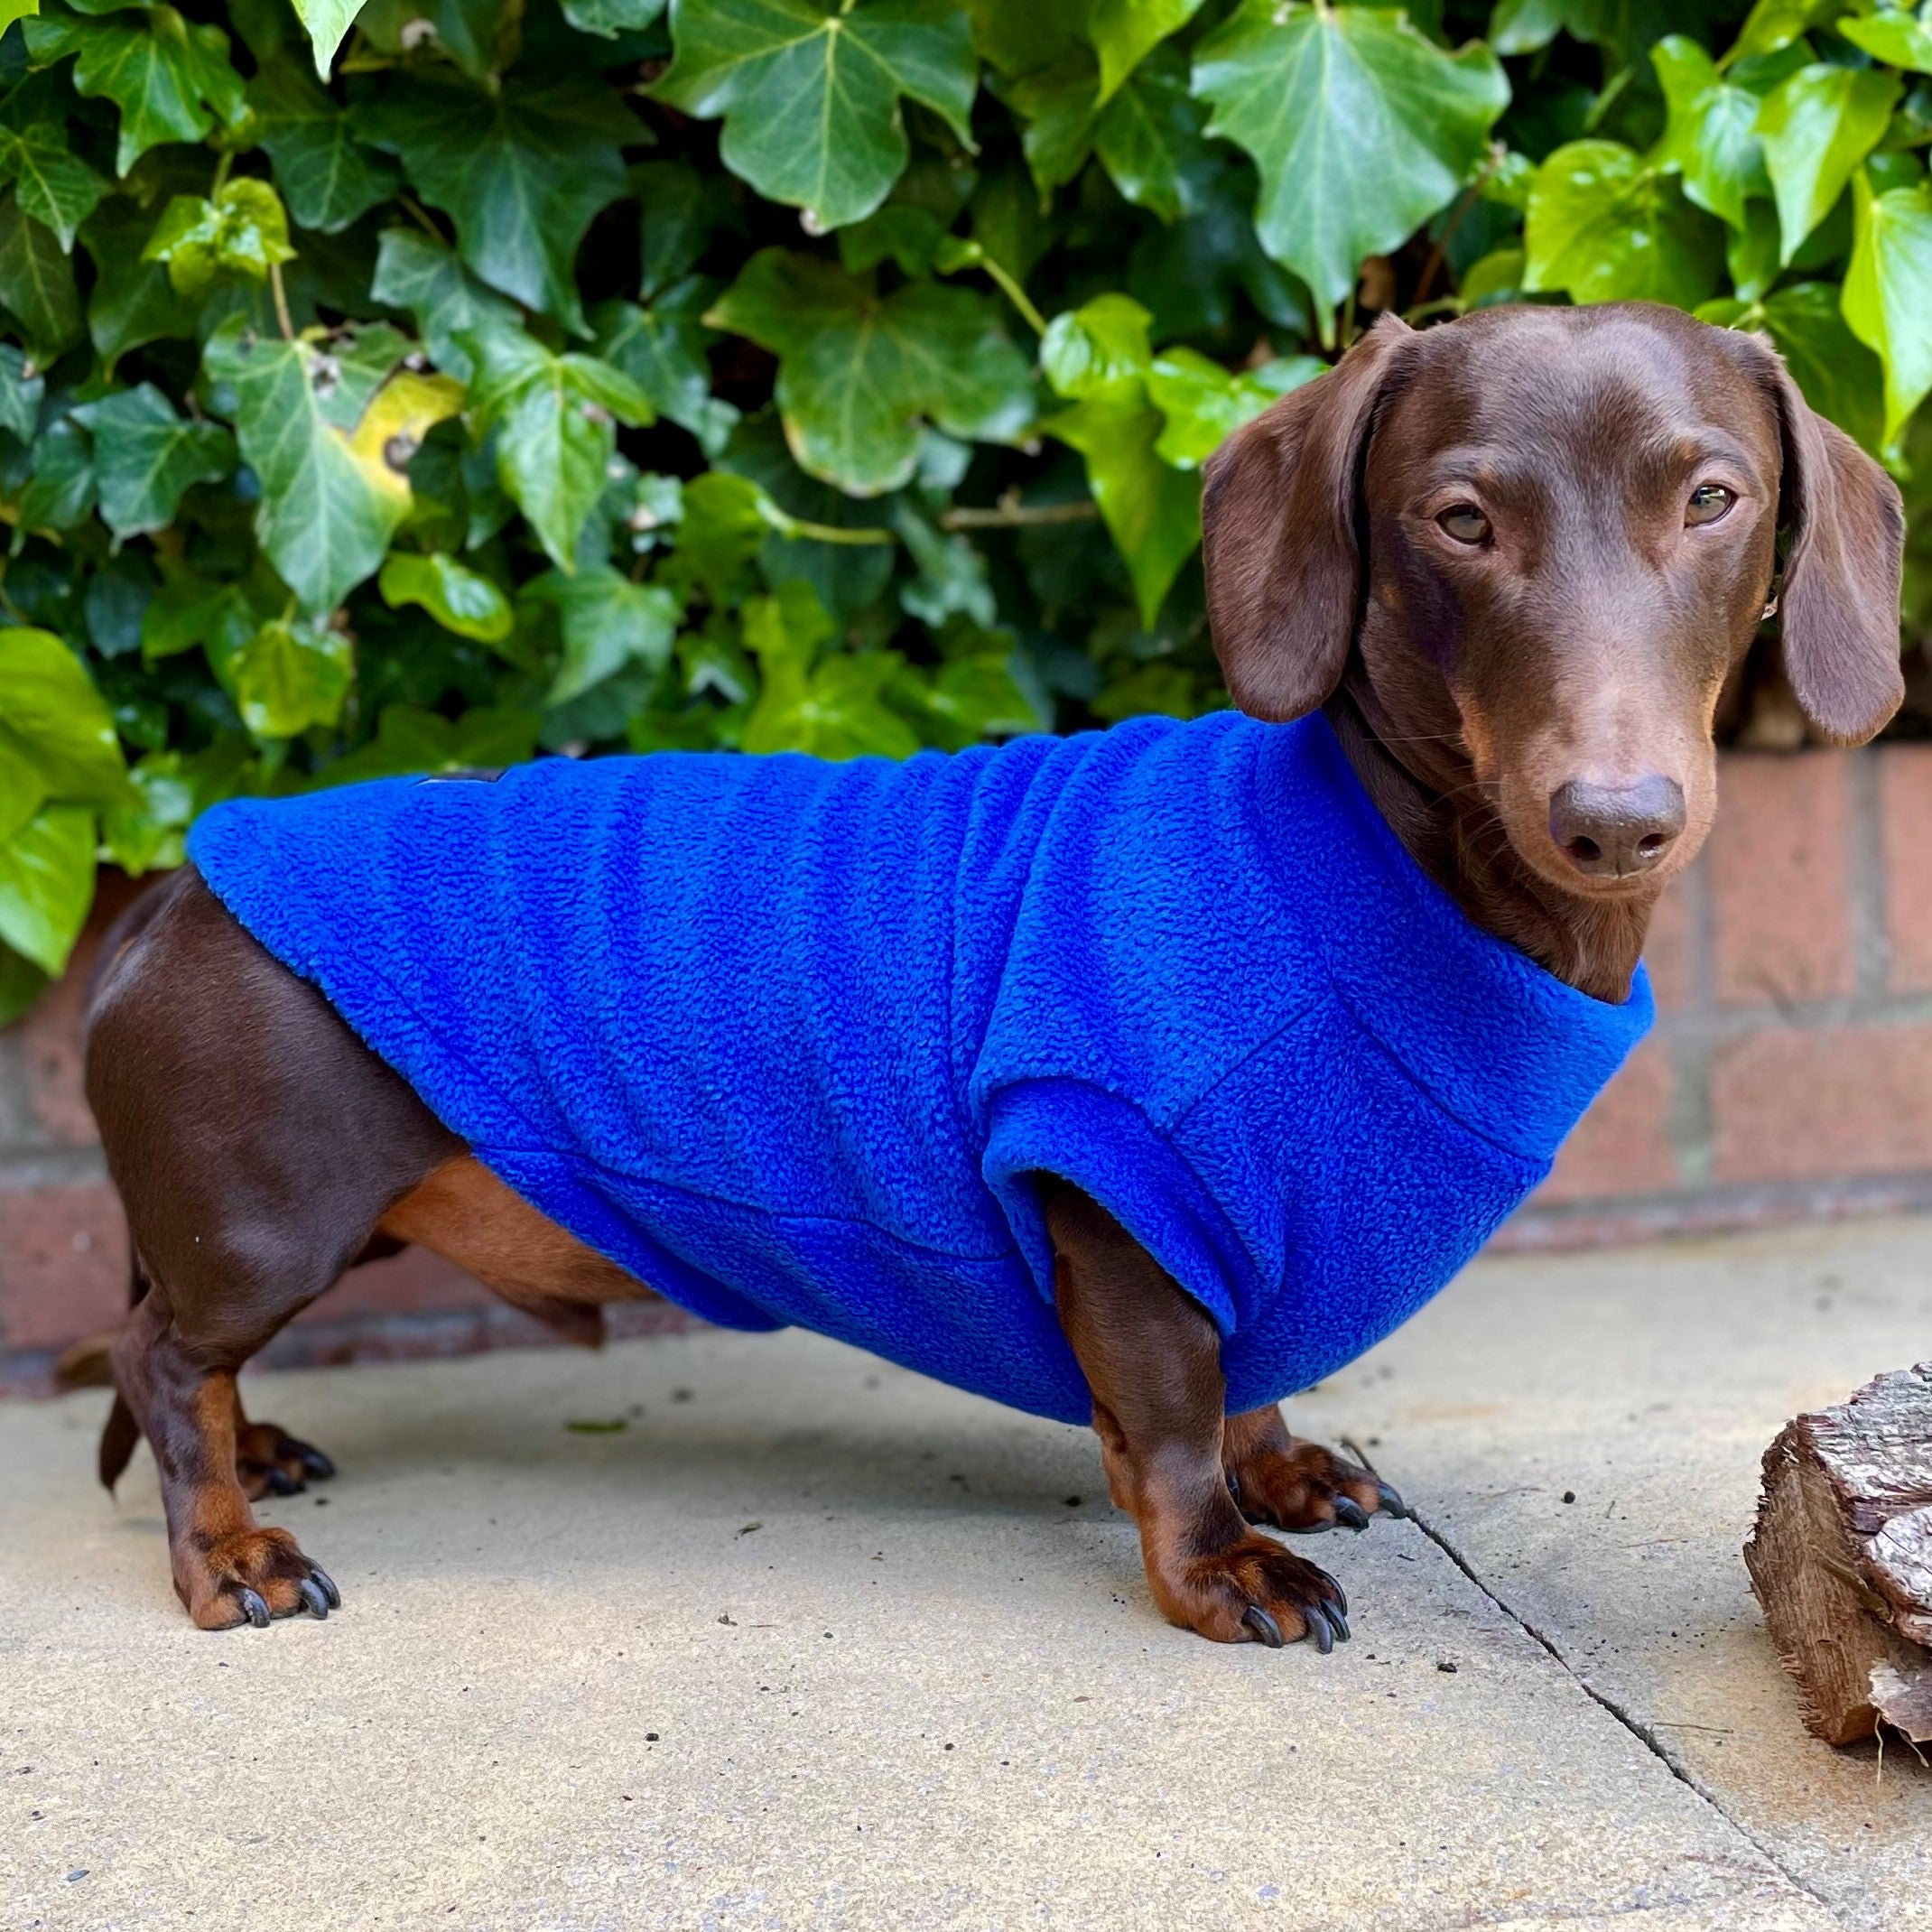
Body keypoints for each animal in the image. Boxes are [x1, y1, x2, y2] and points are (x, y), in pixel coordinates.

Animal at [79, 301, 1900, 1646]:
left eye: (1713, 497)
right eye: (1460, 519)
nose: (1617, 818)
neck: (1379, 859)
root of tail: (171, 885)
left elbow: (1247, 1391)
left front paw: (1285, 1472)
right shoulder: (1114, 1180)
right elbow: (1171, 1410)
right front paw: (1223, 1565)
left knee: (190, 1361)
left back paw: (263, 1457)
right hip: (265, 1218)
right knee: (163, 1355)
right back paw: (226, 1550)